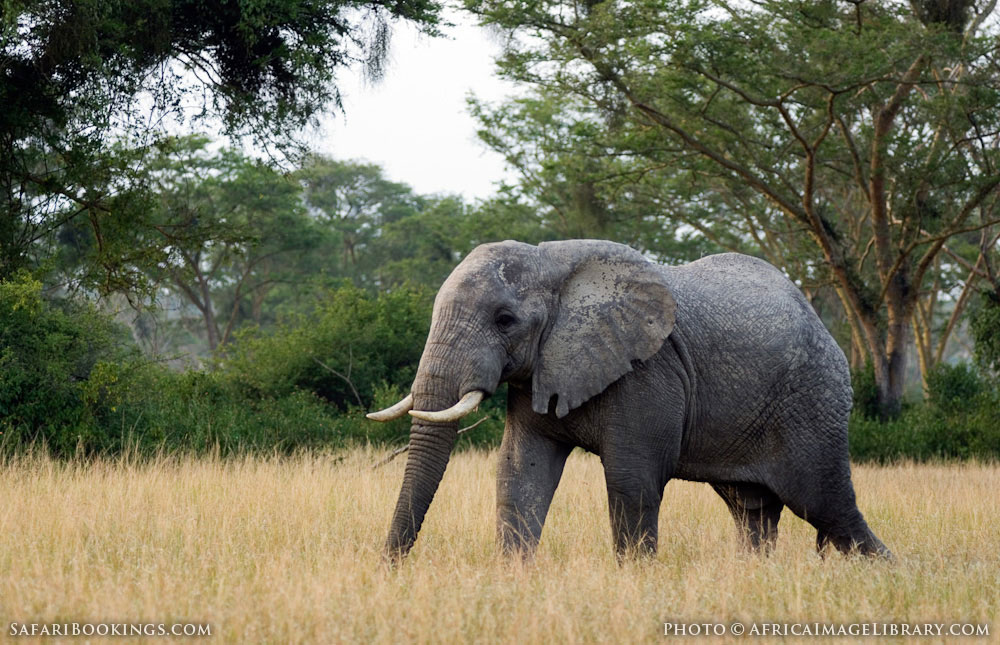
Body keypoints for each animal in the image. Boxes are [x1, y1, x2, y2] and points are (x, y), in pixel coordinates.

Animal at [368, 239, 892, 560]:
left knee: (827, 505)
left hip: (813, 400)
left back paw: (889, 571)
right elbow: (519, 474)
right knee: (753, 510)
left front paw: (636, 577)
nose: (389, 568)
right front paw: (513, 577)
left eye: (504, 320)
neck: (551, 262)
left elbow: (631, 480)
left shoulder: (648, 371)